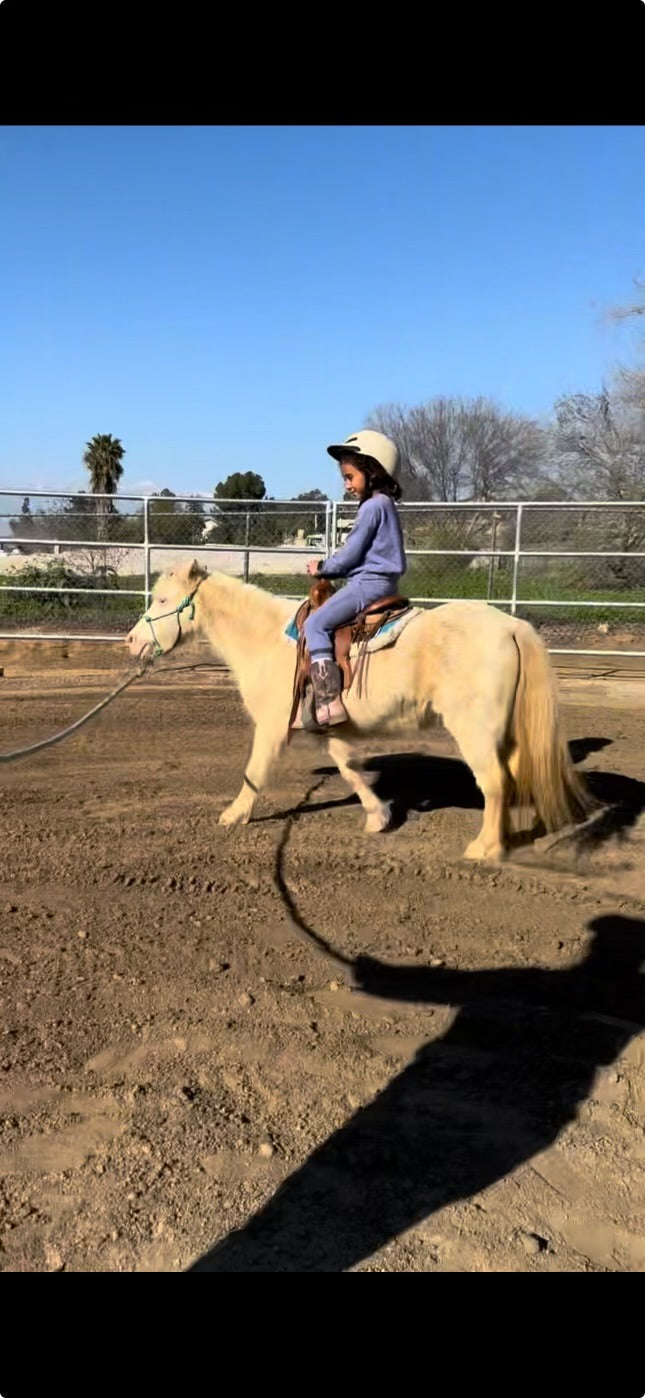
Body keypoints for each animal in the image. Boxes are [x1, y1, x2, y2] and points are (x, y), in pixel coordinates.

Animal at [125, 559, 592, 861]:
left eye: (162, 599)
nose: (132, 641)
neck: (266, 640)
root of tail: (511, 626)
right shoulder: (333, 730)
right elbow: (350, 769)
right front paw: (378, 816)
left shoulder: (273, 726)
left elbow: (254, 772)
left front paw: (234, 815)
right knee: (513, 775)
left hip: (474, 730)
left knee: (495, 782)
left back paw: (485, 849)